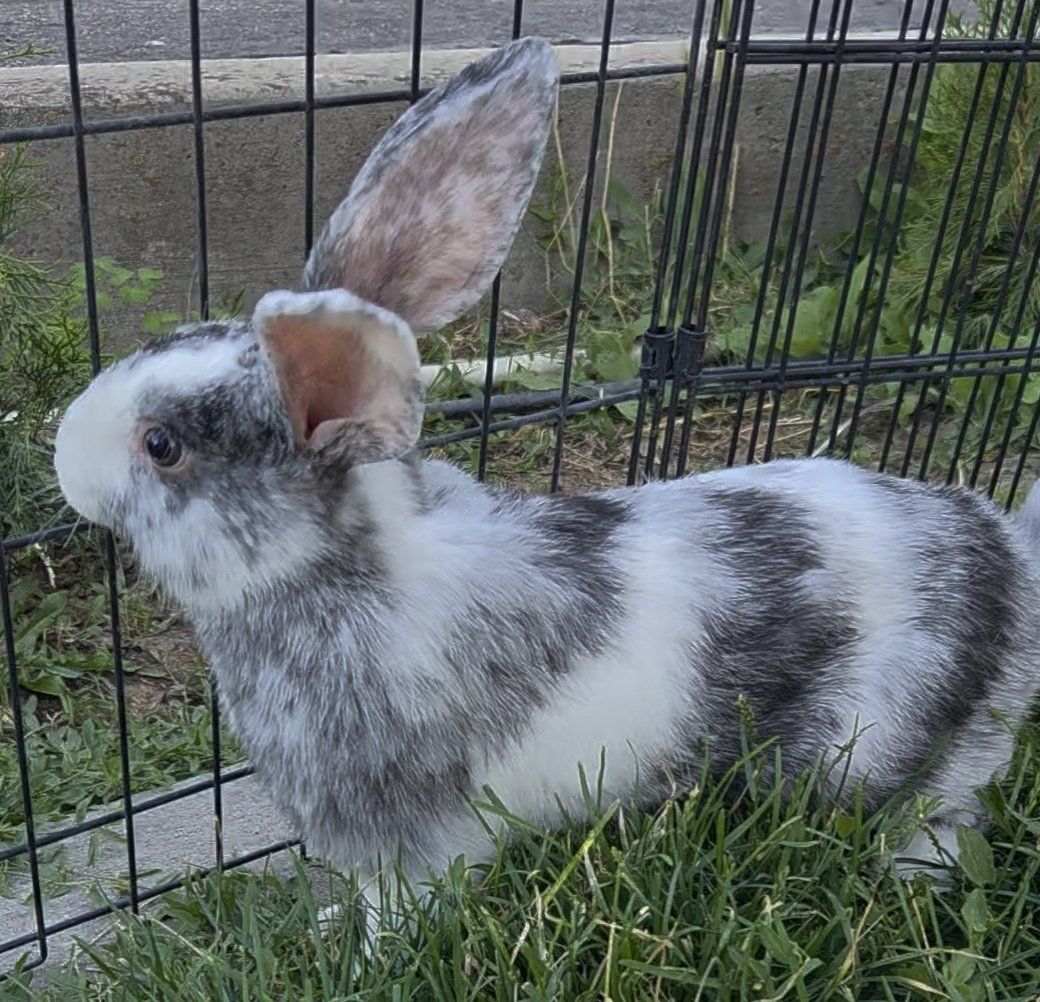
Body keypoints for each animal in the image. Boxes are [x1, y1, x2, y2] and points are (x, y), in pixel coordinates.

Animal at [54, 36, 1040, 920]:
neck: (337, 572)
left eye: (163, 444)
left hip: (897, 749)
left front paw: (357, 951)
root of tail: (1009, 555)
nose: (63, 459)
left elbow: (399, 910)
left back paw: (908, 874)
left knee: (942, 813)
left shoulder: (413, 842)